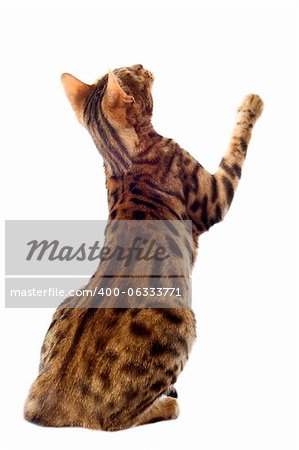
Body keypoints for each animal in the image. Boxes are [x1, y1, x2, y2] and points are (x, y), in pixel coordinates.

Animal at [23, 64, 264, 432]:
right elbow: (236, 148)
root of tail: (49, 395)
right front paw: (251, 104)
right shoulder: (214, 196)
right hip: (183, 323)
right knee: (116, 421)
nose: (142, 65)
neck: (121, 158)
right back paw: (167, 403)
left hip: (65, 303)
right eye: (130, 72)